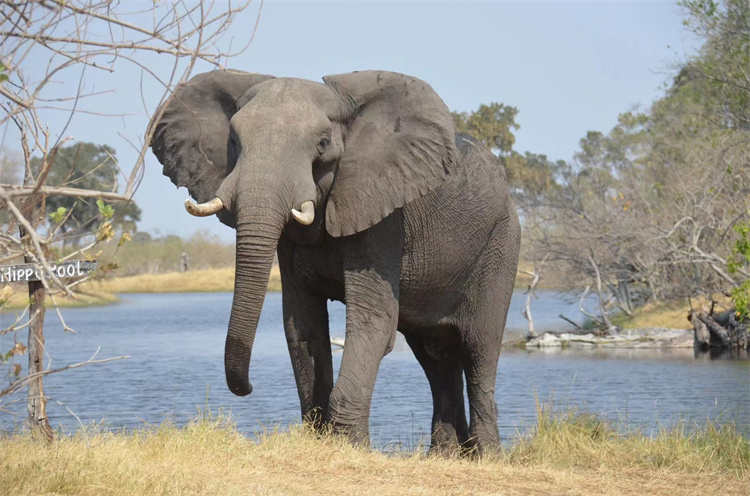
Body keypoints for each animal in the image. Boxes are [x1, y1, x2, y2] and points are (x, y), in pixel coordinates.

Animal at [148, 69, 524, 454]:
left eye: (322, 144)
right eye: (234, 141)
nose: (248, 388)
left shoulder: (382, 212)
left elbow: (373, 322)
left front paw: (351, 447)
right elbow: (302, 325)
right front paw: (321, 439)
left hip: (502, 243)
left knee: (480, 347)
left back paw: (486, 456)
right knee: (435, 355)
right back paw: (447, 456)